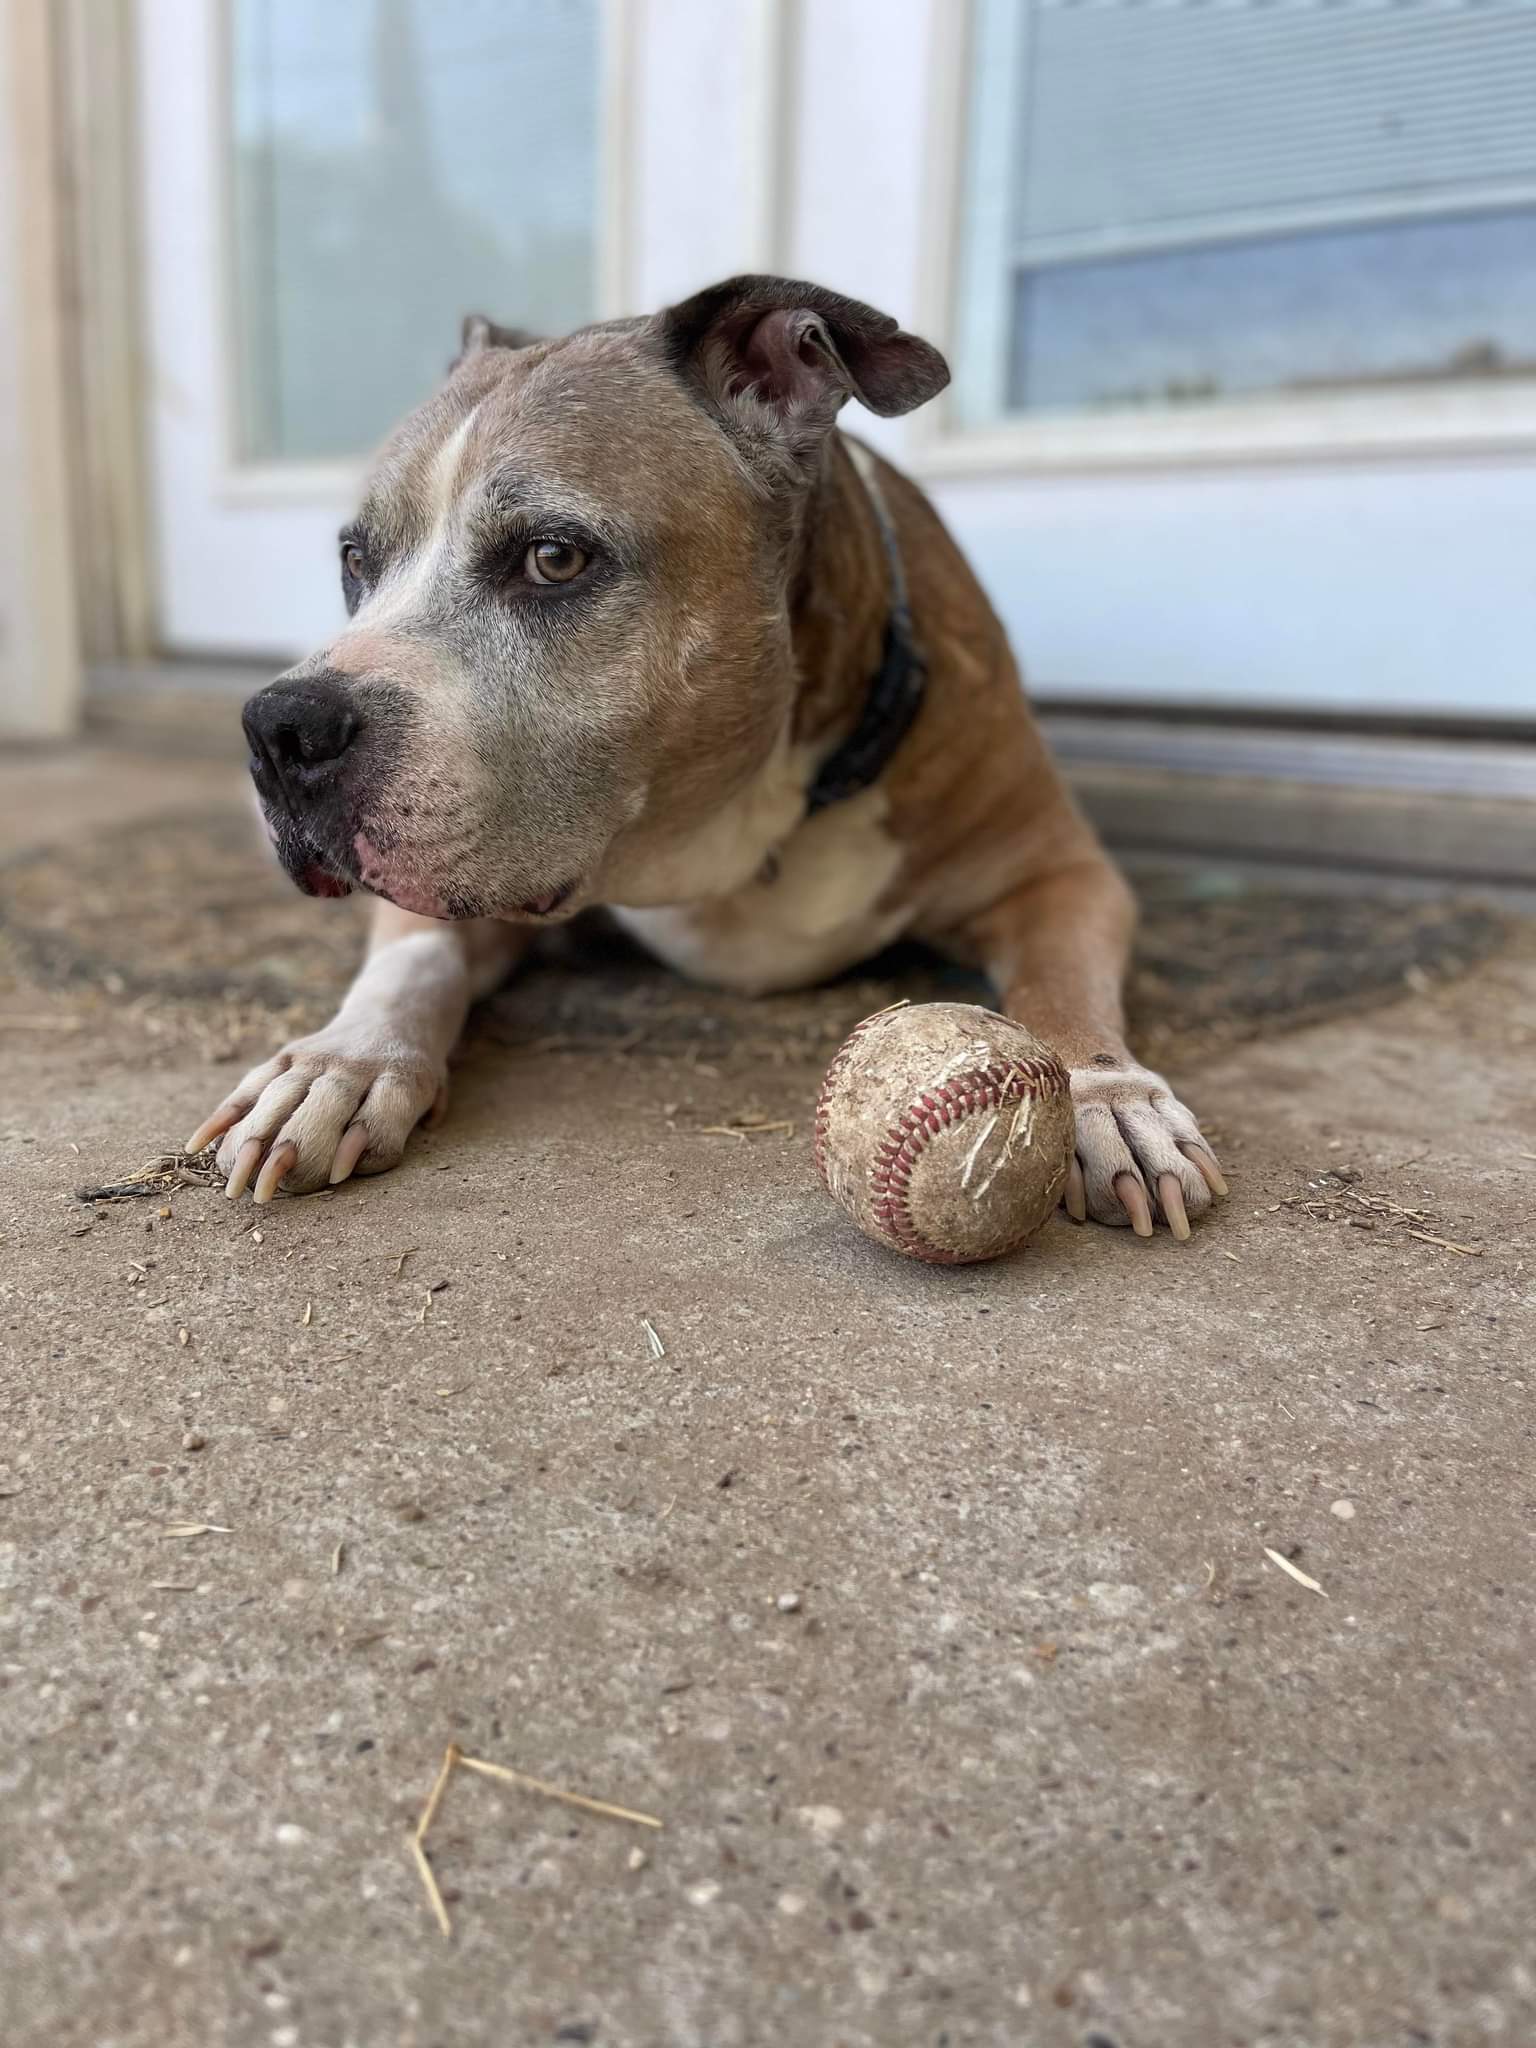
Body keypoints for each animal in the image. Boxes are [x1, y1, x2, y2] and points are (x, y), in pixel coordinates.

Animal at [189, 278, 1228, 1236]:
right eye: (356, 561)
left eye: (552, 558)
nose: (281, 726)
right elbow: (414, 959)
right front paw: (343, 1062)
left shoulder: (1061, 874)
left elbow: (1061, 984)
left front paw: (1106, 1096)